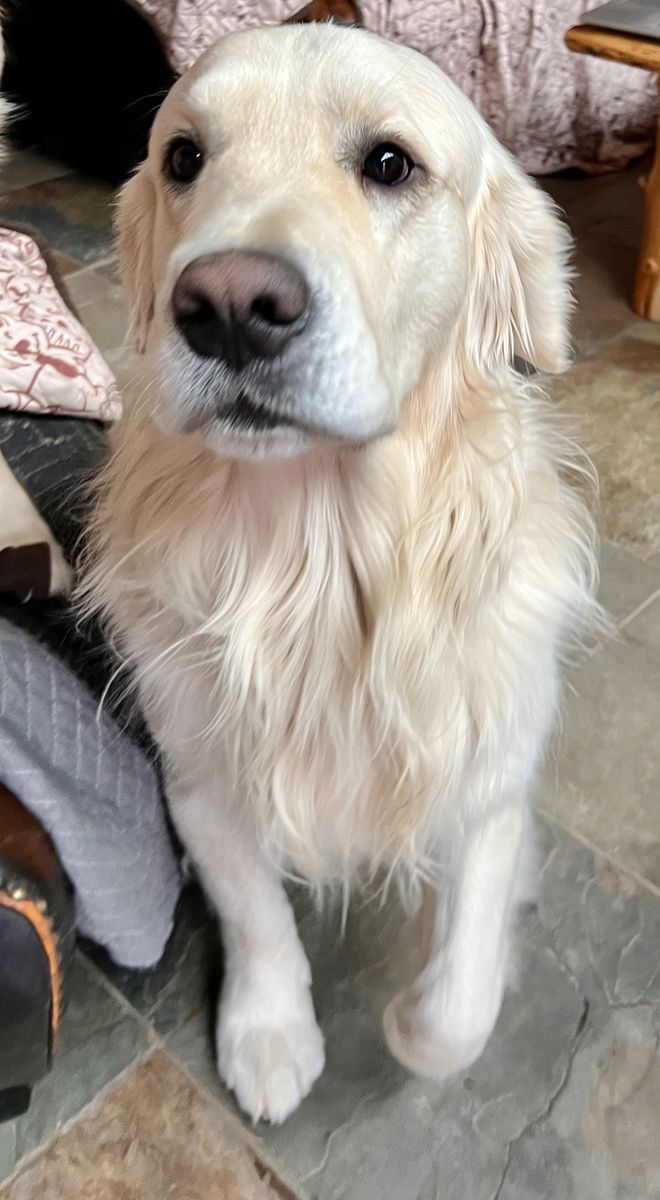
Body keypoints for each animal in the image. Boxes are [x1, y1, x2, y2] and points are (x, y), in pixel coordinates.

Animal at [83, 23, 600, 1124]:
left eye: (390, 163)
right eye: (184, 157)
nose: (230, 304)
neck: (313, 566)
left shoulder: (492, 778)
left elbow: (457, 1007)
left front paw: (408, 1018)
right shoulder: (200, 776)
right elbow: (255, 914)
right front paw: (270, 1034)